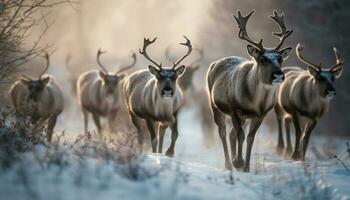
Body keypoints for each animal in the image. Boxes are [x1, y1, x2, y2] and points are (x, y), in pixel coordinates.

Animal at [208, 9, 292, 172]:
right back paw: (229, 164)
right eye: (263, 59)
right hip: (215, 105)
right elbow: (241, 135)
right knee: (223, 132)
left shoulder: (260, 114)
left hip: (243, 117)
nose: (278, 75)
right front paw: (238, 162)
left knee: (231, 133)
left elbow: (250, 138)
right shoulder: (234, 107)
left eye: (280, 59)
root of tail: (214, 63)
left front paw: (246, 166)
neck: (255, 102)